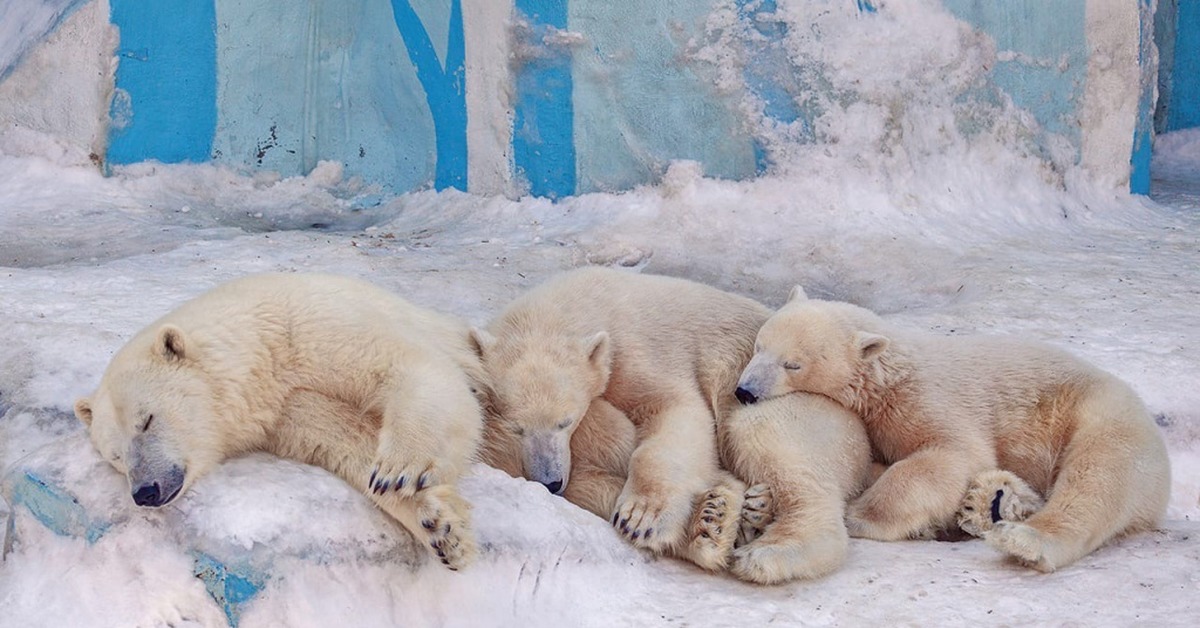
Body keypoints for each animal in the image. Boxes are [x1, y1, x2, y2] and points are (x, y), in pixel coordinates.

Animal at [75, 273, 484, 569]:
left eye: (147, 420)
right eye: (115, 455)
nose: (145, 491)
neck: (261, 351)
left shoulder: (312, 326)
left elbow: (407, 366)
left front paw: (399, 469)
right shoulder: (288, 408)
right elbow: (346, 439)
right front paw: (441, 530)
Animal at [468, 267, 768, 561]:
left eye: (566, 422)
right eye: (517, 428)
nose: (550, 482)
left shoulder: (634, 352)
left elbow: (673, 405)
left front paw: (641, 519)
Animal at [734, 286, 1166, 571]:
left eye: (793, 364)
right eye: (759, 345)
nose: (745, 391)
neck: (888, 376)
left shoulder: (928, 398)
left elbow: (953, 452)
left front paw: (860, 514)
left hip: (1103, 419)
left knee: (1096, 479)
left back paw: (1022, 539)